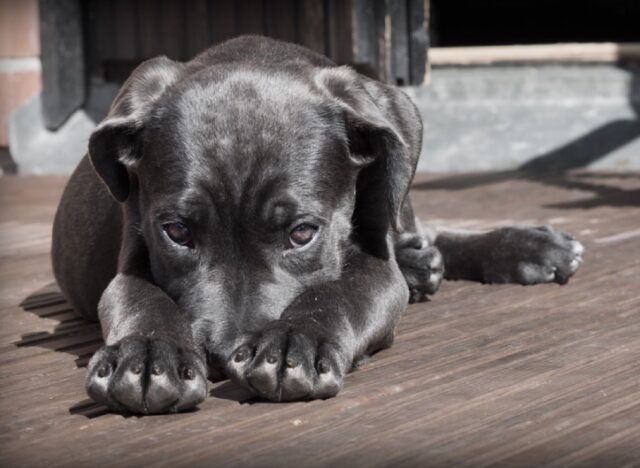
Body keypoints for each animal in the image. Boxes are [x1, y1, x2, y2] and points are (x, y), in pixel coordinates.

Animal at [52, 35, 584, 414]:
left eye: (302, 233)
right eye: (177, 233)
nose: (223, 356)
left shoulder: (374, 265)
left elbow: (340, 291)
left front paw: (295, 341)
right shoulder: (132, 254)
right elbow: (139, 297)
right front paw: (146, 354)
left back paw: (524, 247)